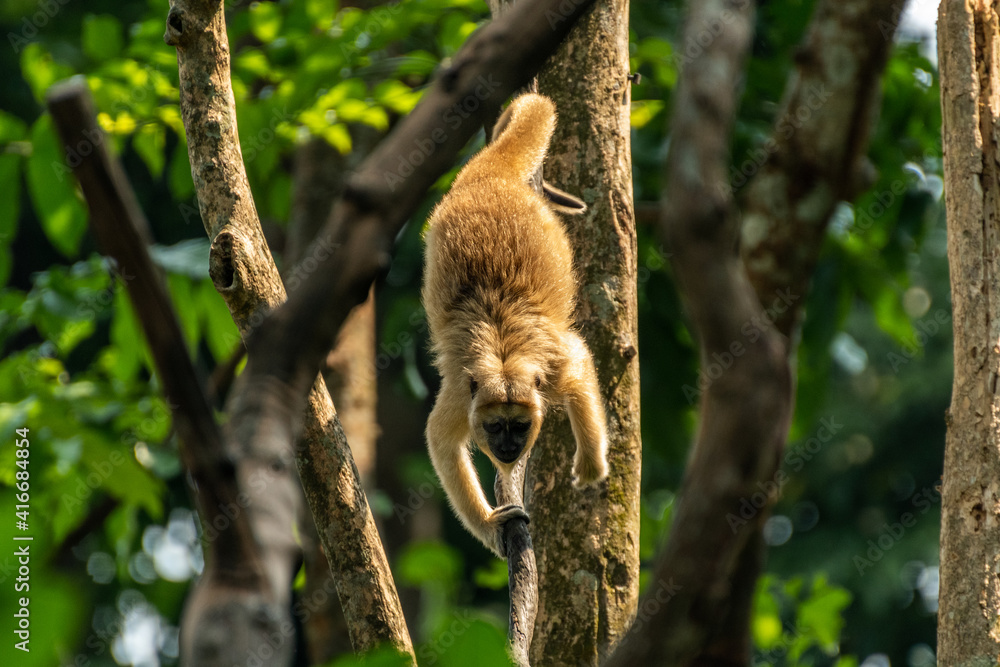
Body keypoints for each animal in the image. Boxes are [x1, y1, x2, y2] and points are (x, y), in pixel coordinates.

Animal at [421, 93, 609, 558]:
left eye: (520, 426)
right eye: (494, 427)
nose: (507, 448)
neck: (504, 357)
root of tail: (490, 177)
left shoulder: (553, 368)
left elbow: (580, 360)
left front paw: (591, 463)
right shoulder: (463, 393)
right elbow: (441, 441)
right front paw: (491, 525)